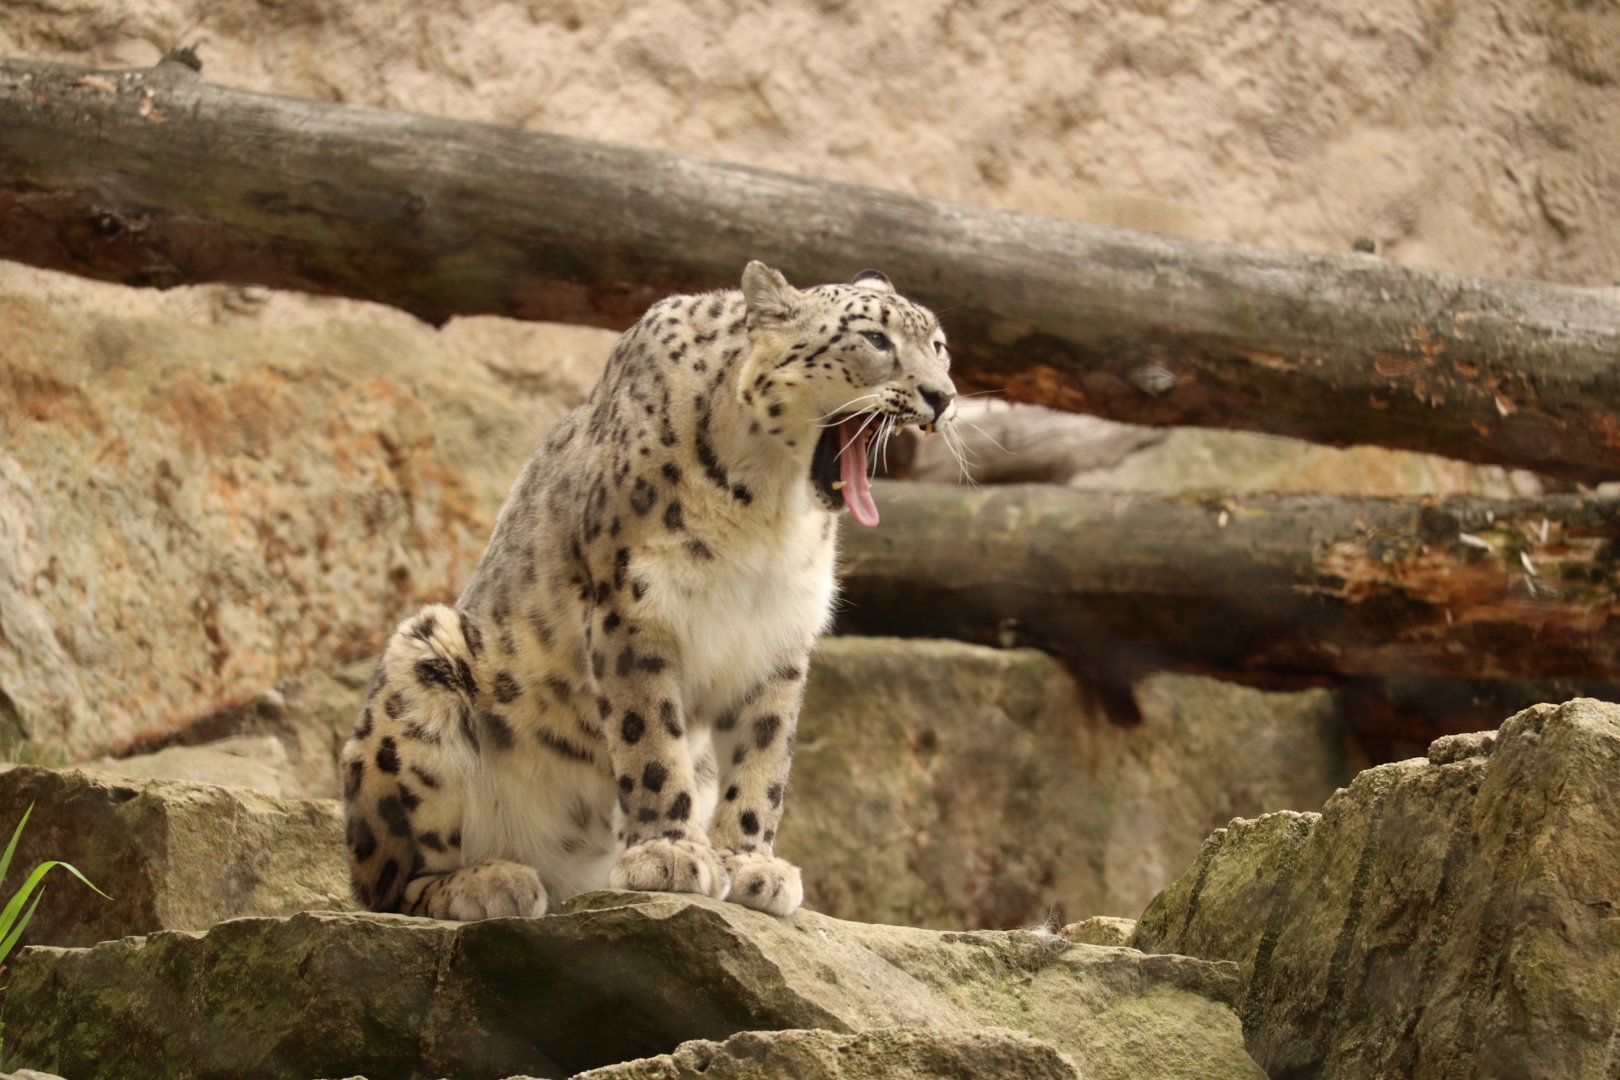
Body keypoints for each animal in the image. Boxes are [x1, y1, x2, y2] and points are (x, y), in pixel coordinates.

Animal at [339, 261, 957, 920]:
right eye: (875, 339)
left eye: (939, 346)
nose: (942, 396)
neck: (771, 507)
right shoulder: (633, 610)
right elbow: (651, 738)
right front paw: (671, 854)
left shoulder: (779, 636)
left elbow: (765, 755)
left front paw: (750, 864)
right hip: (417, 669)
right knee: (389, 882)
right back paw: (489, 882)